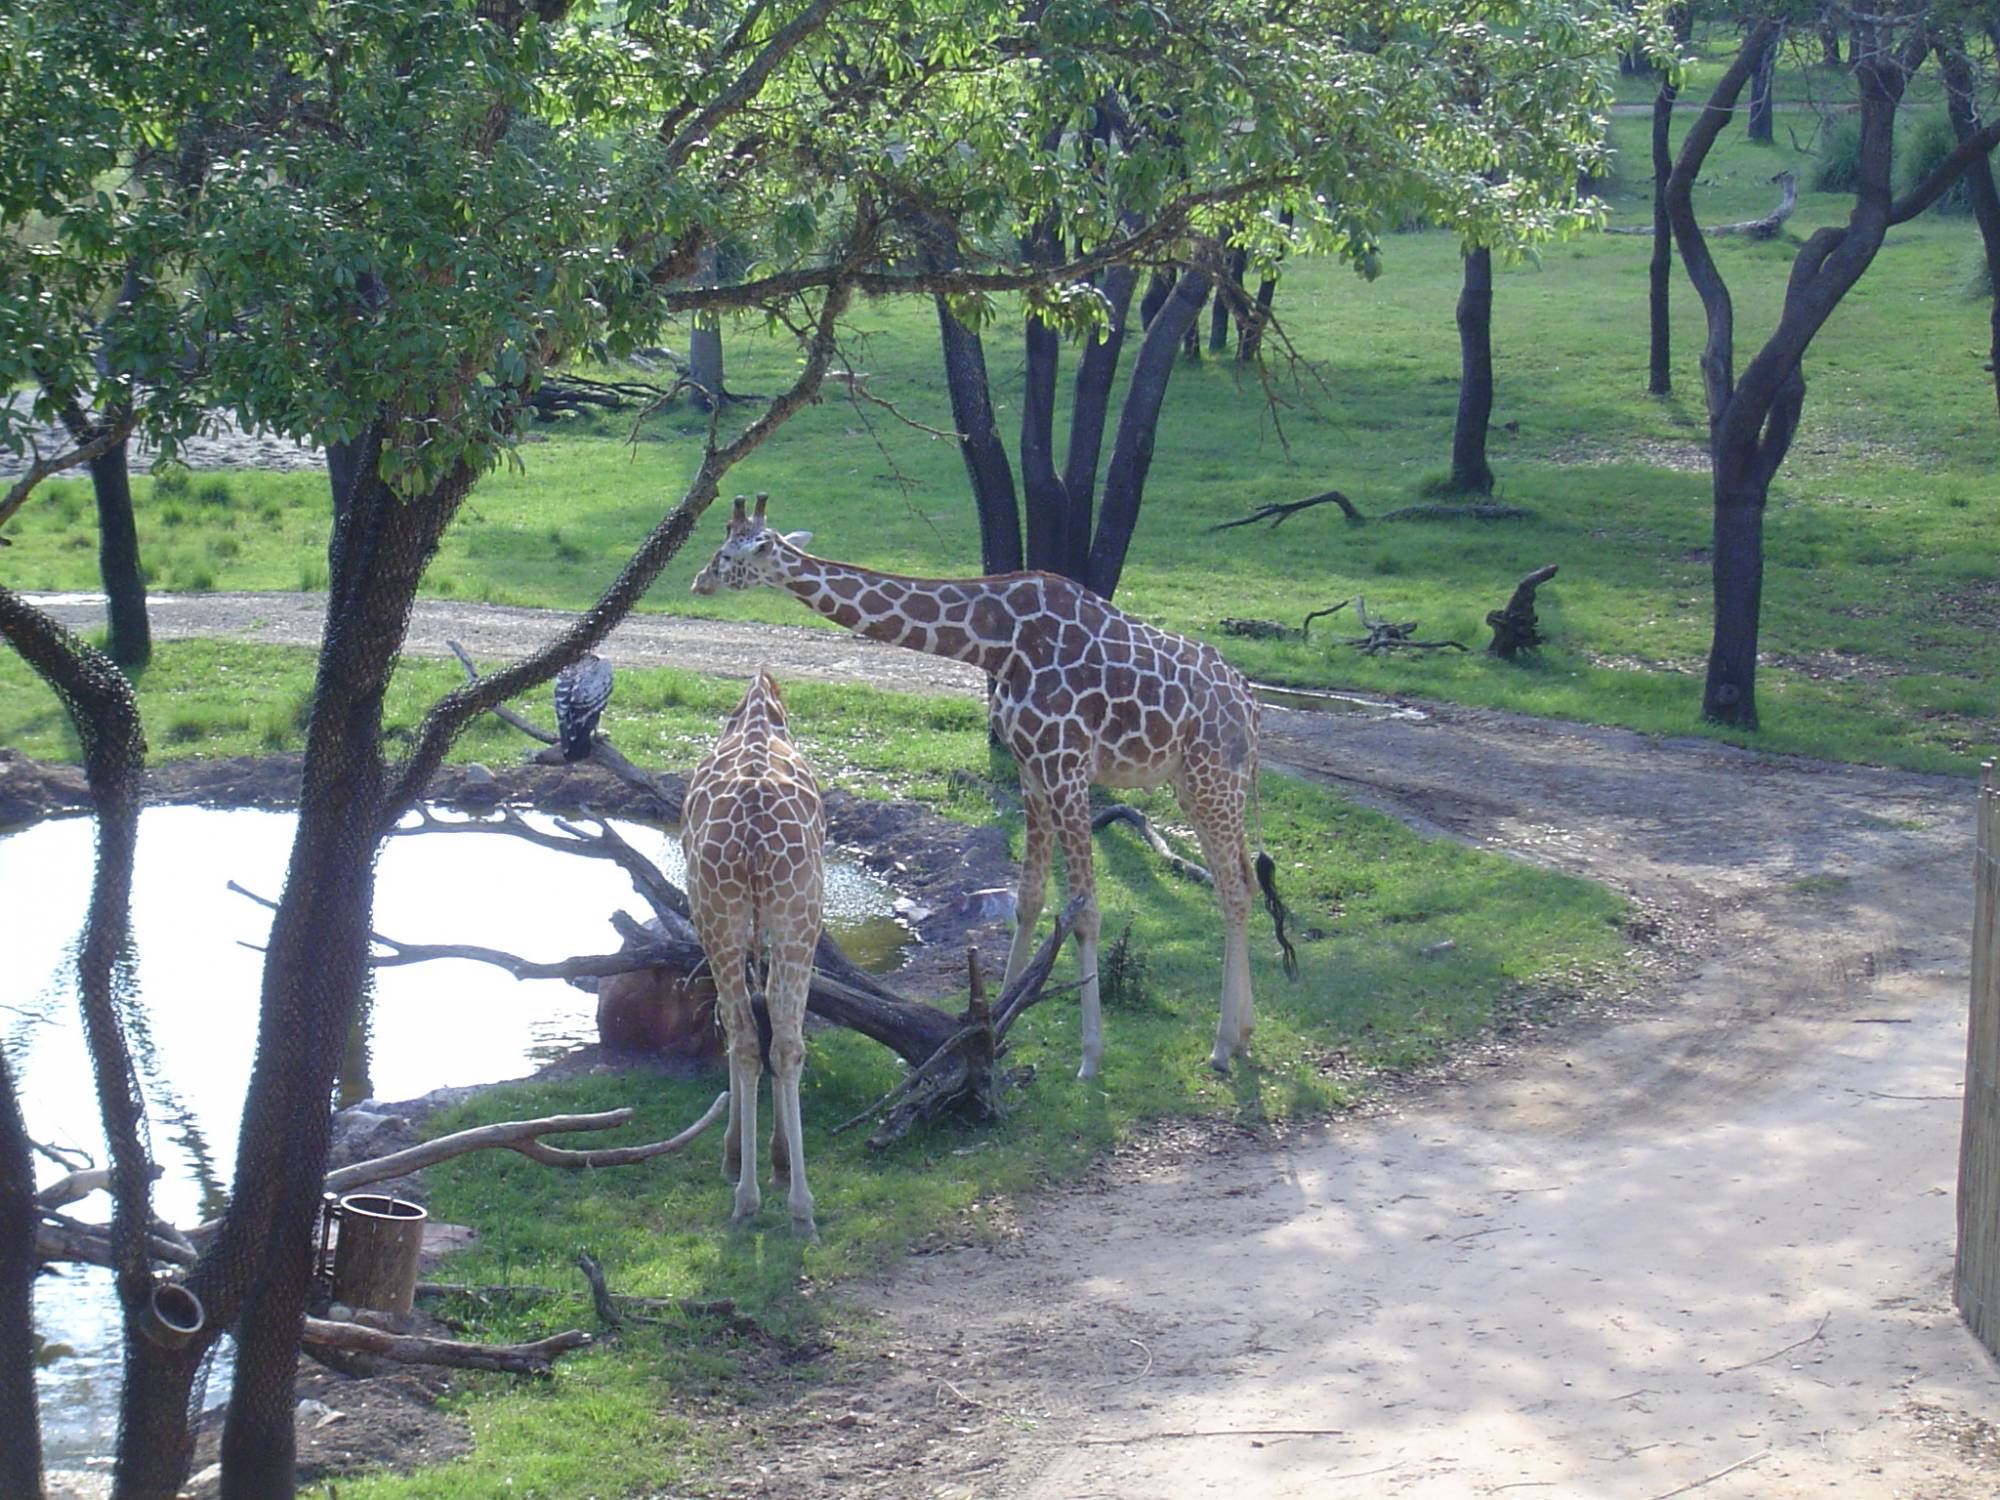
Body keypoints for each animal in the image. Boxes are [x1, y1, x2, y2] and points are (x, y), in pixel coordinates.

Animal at [696, 496, 1304, 1080]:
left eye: (729, 554)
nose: (699, 579)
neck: (996, 641)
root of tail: (1252, 709)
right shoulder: (1031, 766)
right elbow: (1029, 899)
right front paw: (997, 1029)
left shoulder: (1066, 764)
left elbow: (1085, 911)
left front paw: (1090, 1057)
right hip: (1195, 782)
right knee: (1242, 882)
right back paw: (1243, 1035)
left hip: (1212, 775)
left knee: (1234, 888)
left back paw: (1221, 1046)